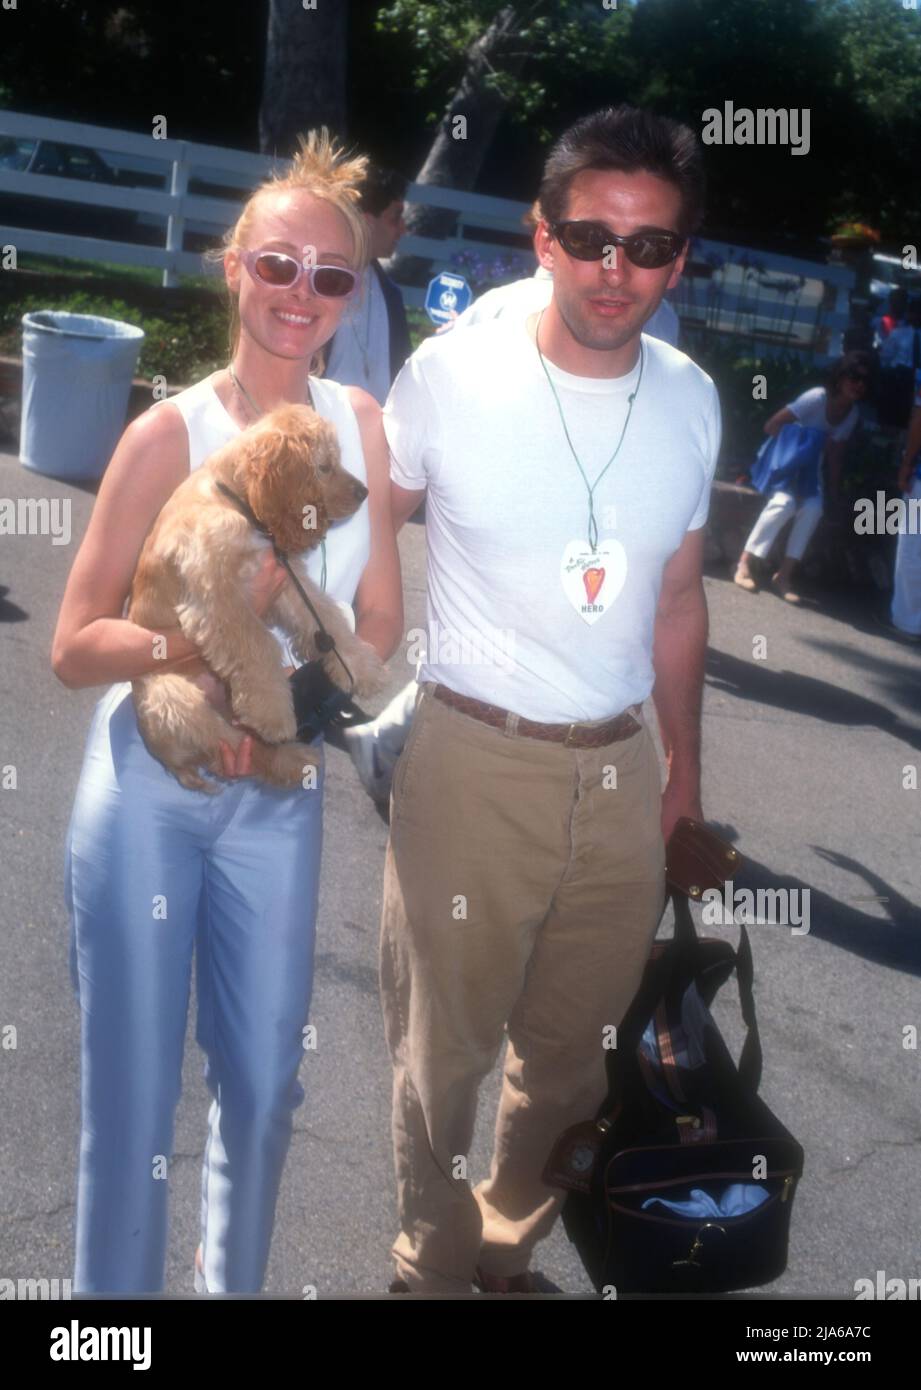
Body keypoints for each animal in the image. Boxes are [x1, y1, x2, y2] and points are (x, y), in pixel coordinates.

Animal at [128, 403, 386, 795]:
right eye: (324, 465)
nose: (365, 492)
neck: (236, 503)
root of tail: (173, 765)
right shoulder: (218, 599)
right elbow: (257, 646)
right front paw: (273, 712)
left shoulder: (288, 586)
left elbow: (327, 618)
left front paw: (360, 669)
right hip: (175, 699)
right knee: (239, 745)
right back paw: (292, 759)